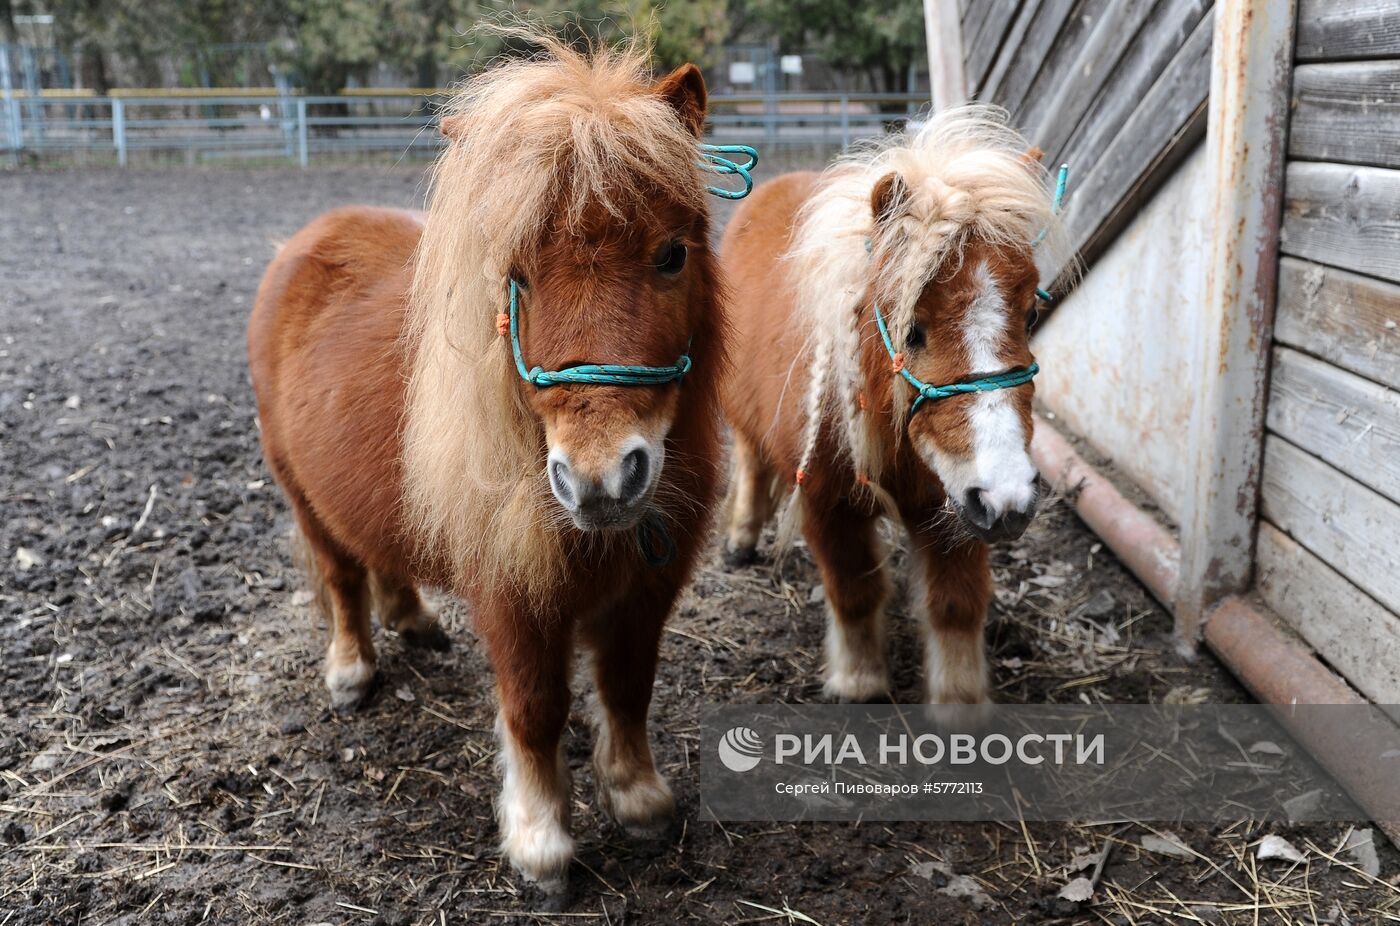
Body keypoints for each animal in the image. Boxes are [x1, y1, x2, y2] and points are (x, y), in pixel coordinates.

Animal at [250, 39, 728, 890]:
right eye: (518, 276)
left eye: (673, 255)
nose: (603, 481)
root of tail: (306, 243)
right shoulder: (512, 594)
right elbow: (535, 708)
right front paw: (539, 840)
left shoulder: (648, 587)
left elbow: (628, 683)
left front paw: (637, 797)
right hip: (301, 495)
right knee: (341, 577)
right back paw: (352, 670)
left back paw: (412, 618)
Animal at [722, 105, 1058, 703]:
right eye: (912, 329)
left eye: (1030, 316)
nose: (1009, 498)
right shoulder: (827, 504)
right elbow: (854, 592)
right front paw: (859, 682)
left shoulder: (954, 503)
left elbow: (955, 606)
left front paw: (959, 703)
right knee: (749, 457)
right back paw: (742, 536)